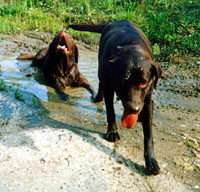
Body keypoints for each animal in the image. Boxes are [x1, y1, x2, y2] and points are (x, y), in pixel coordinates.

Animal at [69, 20, 162, 175]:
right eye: (124, 81)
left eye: (144, 83)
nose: (133, 108)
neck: (131, 46)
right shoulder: (109, 88)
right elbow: (111, 112)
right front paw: (112, 131)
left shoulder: (148, 100)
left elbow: (149, 134)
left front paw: (151, 160)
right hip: (101, 68)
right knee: (101, 83)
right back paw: (98, 97)